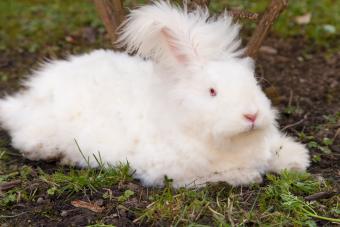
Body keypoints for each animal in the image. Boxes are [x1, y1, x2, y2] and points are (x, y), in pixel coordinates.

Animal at [0, 1, 310, 186]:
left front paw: (296, 161)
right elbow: (224, 174)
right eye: (212, 91)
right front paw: (249, 175)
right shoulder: (176, 170)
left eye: (253, 82)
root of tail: (22, 103)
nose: (252, 115)